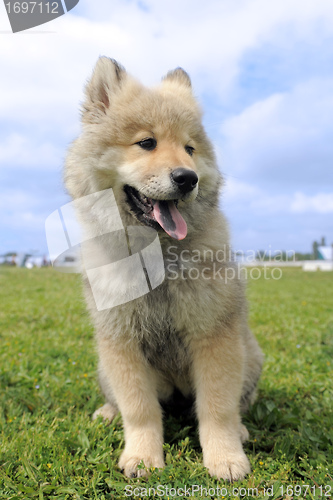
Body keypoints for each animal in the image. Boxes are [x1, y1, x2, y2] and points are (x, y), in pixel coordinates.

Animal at [64, 56, 262, 482]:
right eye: (147, 143)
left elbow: (217, 406)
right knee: (122, 400)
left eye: (189, 148)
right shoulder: (121, 341)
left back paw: (240, 427)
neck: (154, 257)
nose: (188, 178)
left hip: (251, 354)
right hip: (104, 366)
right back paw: (107, 413)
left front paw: (225, 457)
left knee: (239, 401)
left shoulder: (214, 335)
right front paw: (143, 456)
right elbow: (139, 409)